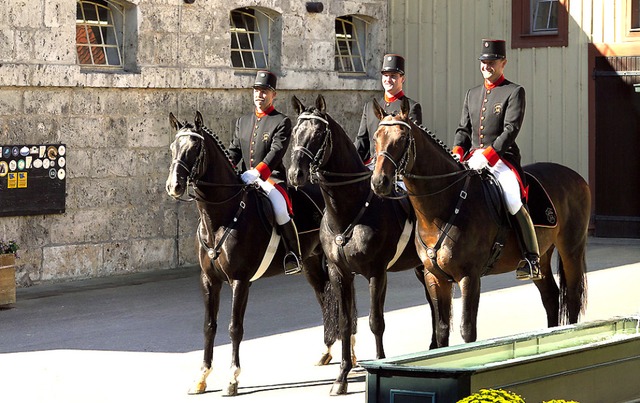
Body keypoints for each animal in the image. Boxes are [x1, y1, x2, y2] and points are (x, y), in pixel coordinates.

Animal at [165, 112, 340, 396]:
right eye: (173, 148)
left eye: (194, 148)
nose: (174, 185)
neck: (221, 216)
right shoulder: (208, 280)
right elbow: (209, 326)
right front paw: (202, 376)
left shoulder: (240, 280)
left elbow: (234, 327)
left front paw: (232, 378)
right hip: (312, 263)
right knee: (325, 298)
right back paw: (327, 350)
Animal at [288, 96, 430, 396]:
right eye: (295, 132)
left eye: (318, 134)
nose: (296, 174)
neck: (349, 211)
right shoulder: (339, 273)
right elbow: (344, 323)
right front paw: (341, 376)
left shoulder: (377, 273)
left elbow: (376, 321)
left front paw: (379, 362)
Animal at [370, 98, 592, 350]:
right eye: (376, 138)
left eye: (402, 139)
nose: (379, 182)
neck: (443, 208)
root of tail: (576, 177)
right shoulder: (434, 277)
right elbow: (441, 331)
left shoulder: (469, 276)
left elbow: (467, 330)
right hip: (543, 256)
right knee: (551, 297)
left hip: (571, 249)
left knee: (572, 298)